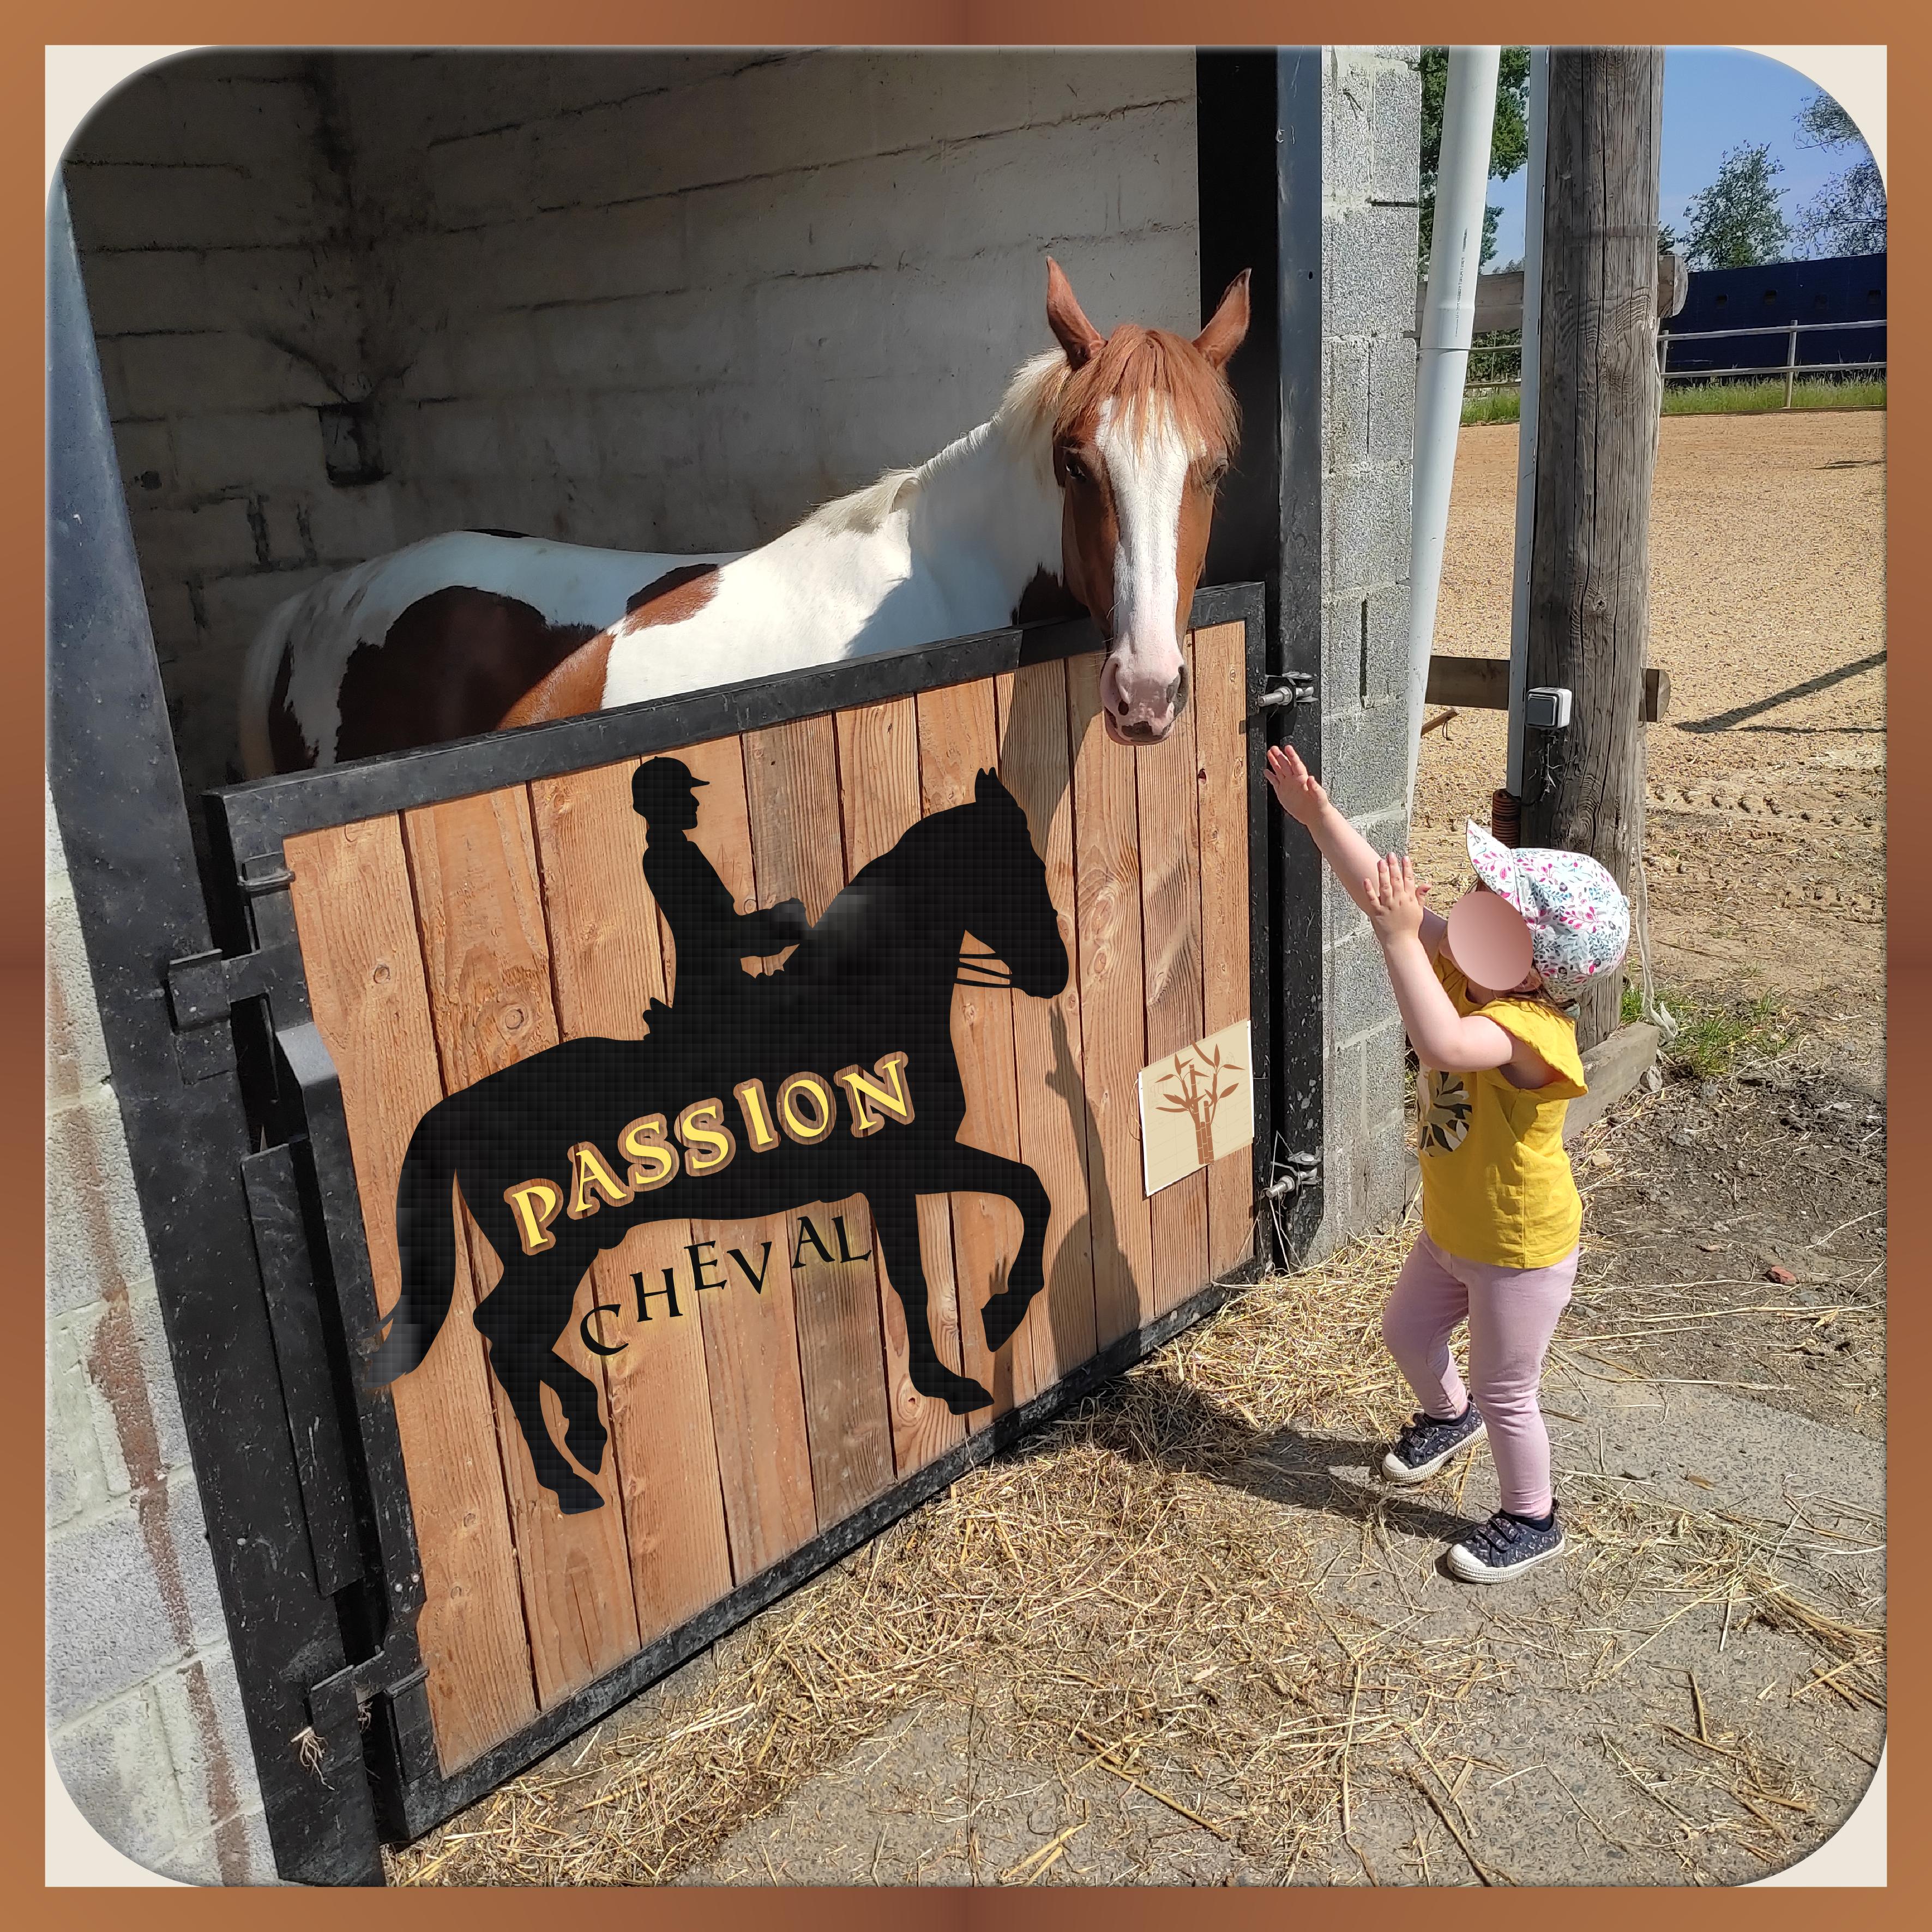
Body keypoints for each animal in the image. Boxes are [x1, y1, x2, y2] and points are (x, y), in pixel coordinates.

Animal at [369, 769, 1068, 1516]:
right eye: (1017, 870)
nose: (1054, 974)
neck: (861, 1002)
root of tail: (457, 1106)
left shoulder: (912, 1169)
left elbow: (1014, 1200)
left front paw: (979, 1338)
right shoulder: (906, 1167)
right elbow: (959, 1242)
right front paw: (980, 1344)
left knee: (502, 1332)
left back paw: (584, 1430)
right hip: (552, 1253)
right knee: (508, 1340)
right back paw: (570, 1479)